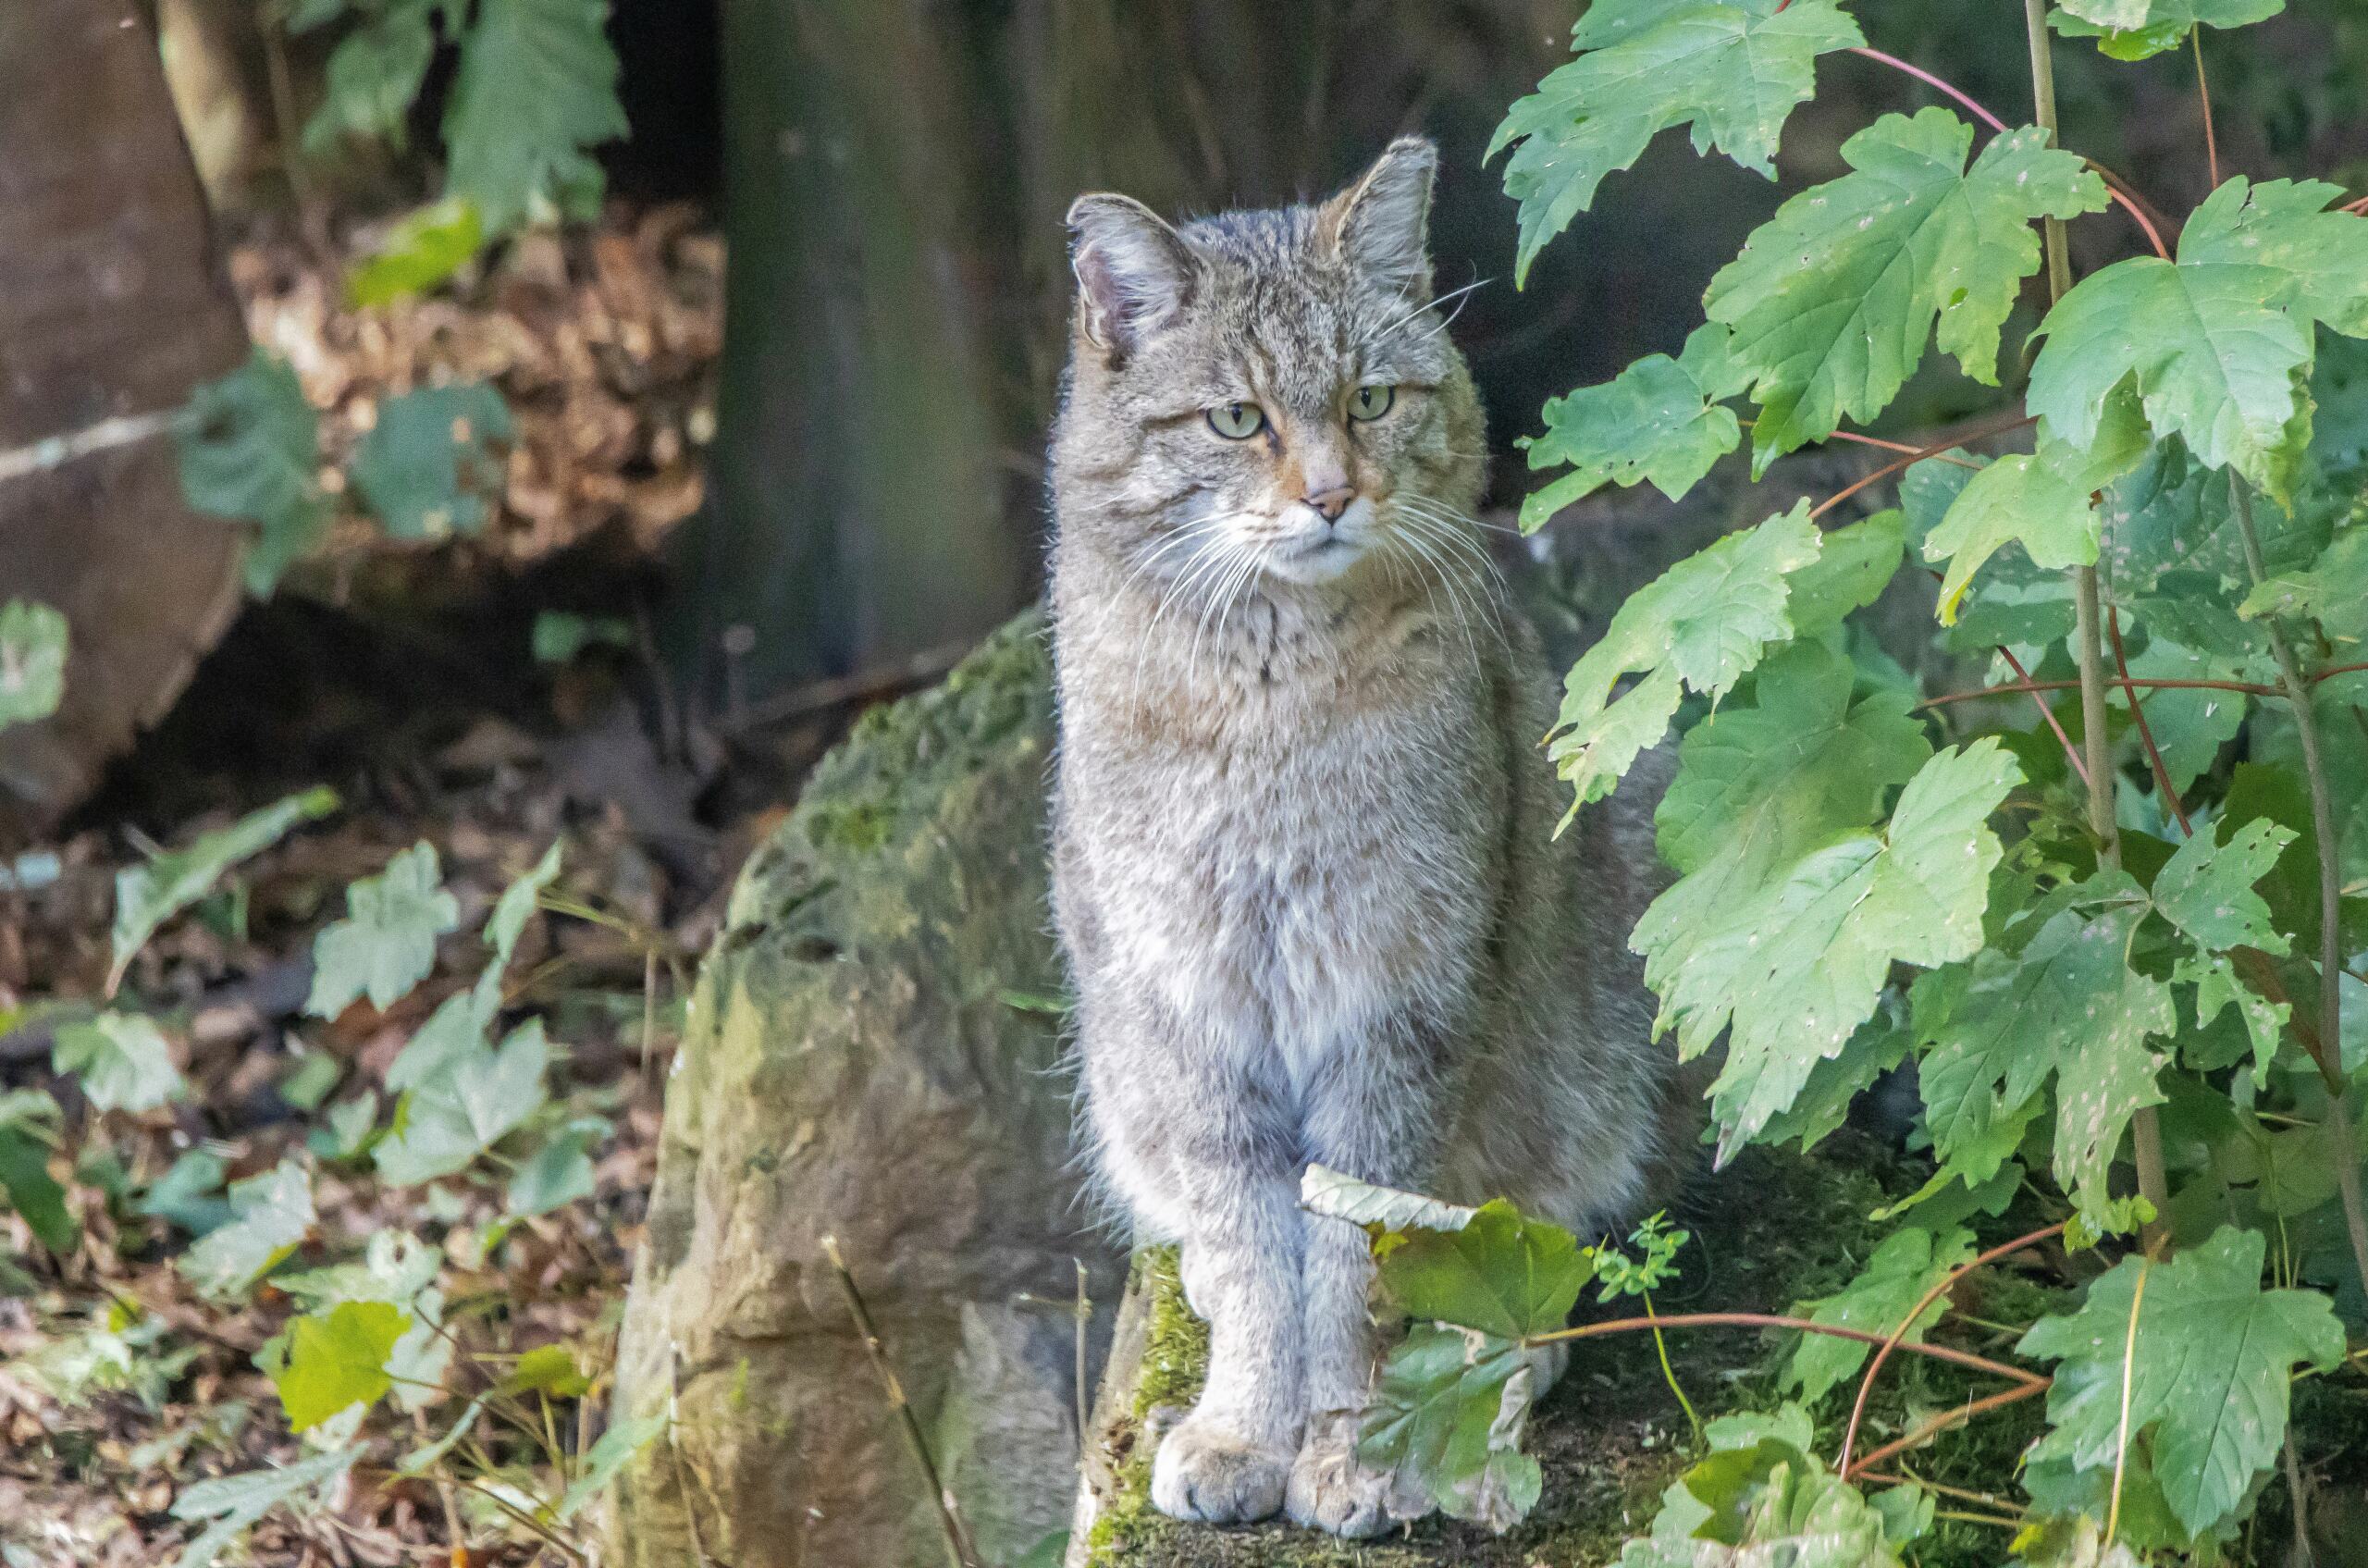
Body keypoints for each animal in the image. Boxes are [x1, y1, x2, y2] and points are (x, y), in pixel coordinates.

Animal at [1046, 141, 1695, 1544]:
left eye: (1371, 398)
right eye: (1238, 421)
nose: (1334, 494)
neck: (1271, 692)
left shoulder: (1396, 1001)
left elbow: (1353, 1249)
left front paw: (1347, 1444)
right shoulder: (1193, 1008)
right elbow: (1254, 1244)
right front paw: (1247, 1426)